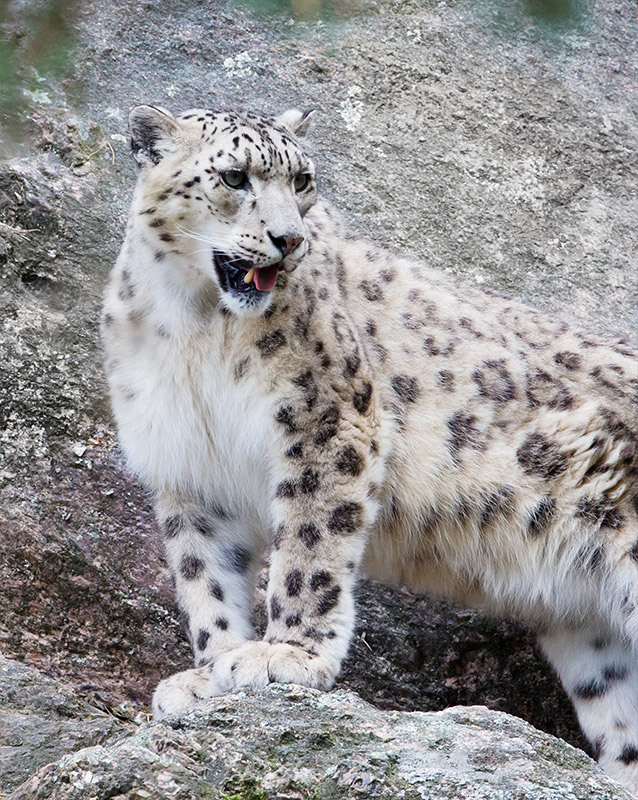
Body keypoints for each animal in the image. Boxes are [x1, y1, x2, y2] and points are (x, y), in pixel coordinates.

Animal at [101, 103, 638, 794]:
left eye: (302, 181)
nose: (287, 239)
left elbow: (308, 547)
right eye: (234, 176)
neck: (192, 323)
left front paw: (287, 655)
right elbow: (204, 577)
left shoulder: (324, 418)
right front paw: (211, 671)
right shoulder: (188, 469)